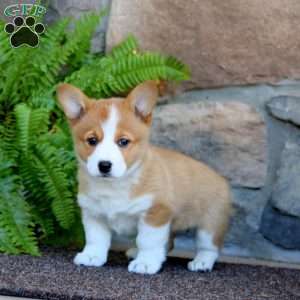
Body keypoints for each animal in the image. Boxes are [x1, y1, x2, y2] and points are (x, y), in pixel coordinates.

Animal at [58, 81, 232, 274]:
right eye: (92, 140)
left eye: (123, 142)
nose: (104, 165)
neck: (115, 185)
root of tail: (221, 178)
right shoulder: (93, 213)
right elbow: (95, 239)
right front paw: (92, 256)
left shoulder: (155, 213)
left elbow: (148, 241)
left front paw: (146, 263)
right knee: (169, 243)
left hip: (210, 224)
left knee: (209, 247)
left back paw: (201, 262)